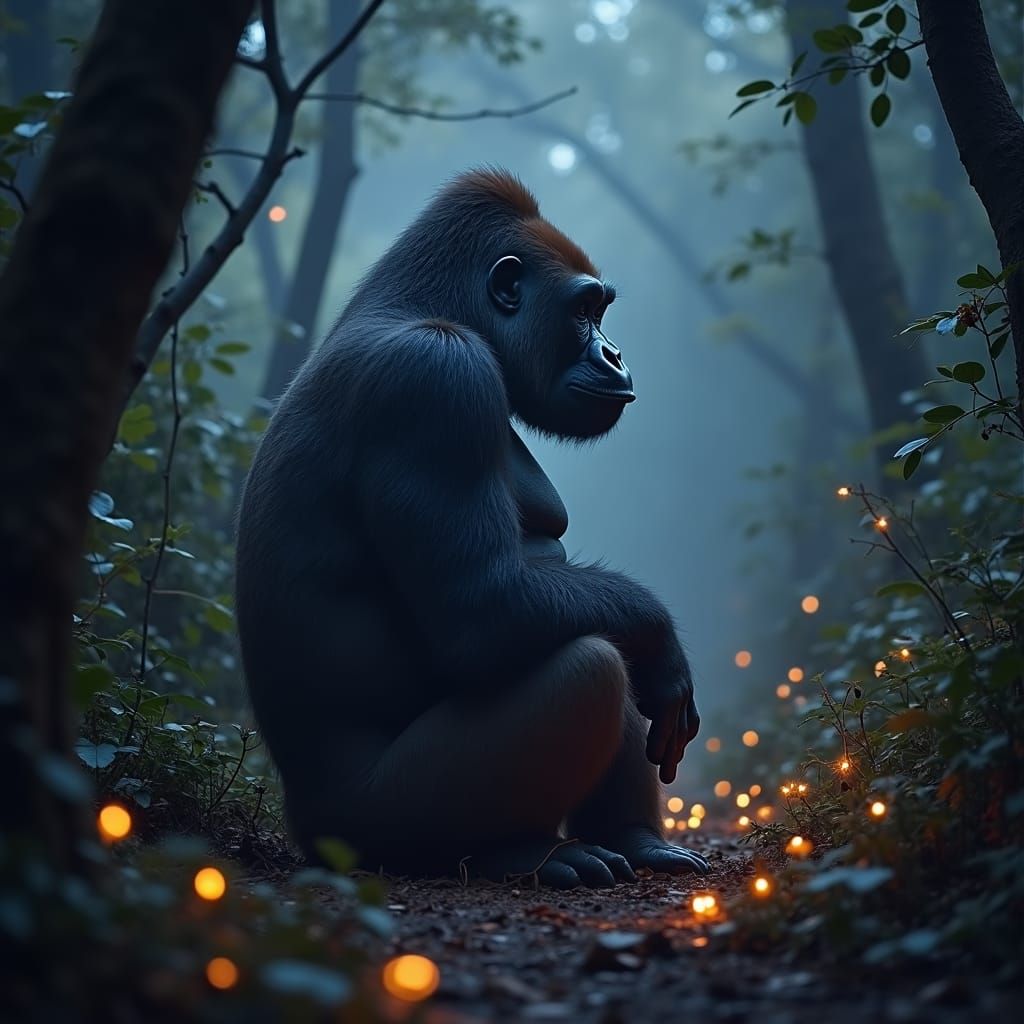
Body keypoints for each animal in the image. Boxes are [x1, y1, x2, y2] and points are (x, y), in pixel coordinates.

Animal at [235, 168, 708, 888]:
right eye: (584, 311)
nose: (615, 354)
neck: (430, 308)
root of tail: (302, 827)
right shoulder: (437, 379)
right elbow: (485, 610)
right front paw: (662, 638)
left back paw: (635, 837)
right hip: (368, 829)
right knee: (591, 665)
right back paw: (517, 851)